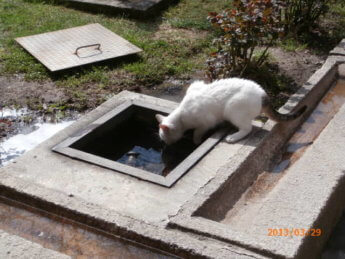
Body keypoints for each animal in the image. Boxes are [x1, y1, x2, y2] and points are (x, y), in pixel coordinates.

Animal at [155, 77, 306, 146]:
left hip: (233, 108)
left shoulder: (206, 122)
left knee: (247, 128)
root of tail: (263, 94)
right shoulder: (196, 85)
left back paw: (233, 137)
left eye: (163, 138)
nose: (166, 144)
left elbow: (197, 132)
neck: (181, 116)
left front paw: (196, 141)